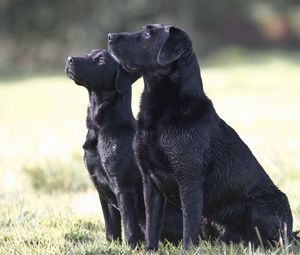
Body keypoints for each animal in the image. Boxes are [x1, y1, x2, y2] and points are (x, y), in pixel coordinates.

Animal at [65, 48, 185, 248]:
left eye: (101, 60)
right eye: (89, 54)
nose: (69, 59)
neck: (101, 128)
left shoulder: (124, 188)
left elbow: (128, 228)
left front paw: (130, 248)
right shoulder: (101, 190)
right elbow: (111, 229)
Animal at [107, 24, 292, 250]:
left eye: (148, 34)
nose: (110, 37)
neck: (165, 113)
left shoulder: (189, 178)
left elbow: (189, 223)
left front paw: (188, 250)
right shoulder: (149, 181)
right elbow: (152, 224)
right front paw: (150, 250)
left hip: (263, 205)